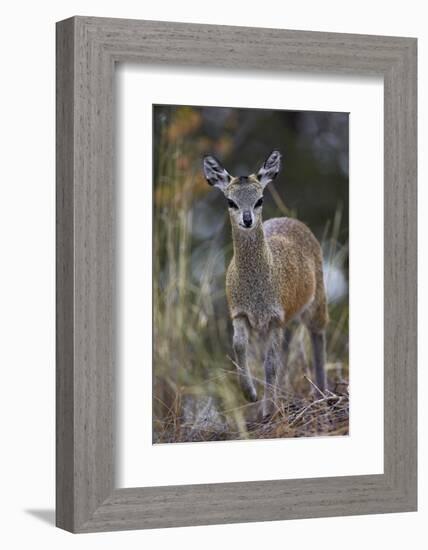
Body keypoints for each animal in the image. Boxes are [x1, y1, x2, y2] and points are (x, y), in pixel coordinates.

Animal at [203, 151, 328, 418]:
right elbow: (239, 346)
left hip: (316, 301)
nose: (247, 219)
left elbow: (270, 364)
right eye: (230, 201)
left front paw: (267, 409)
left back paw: (322, 393)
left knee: (318, 333)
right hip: (288, 320)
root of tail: (293, 220)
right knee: (288, 350)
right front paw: (250, 395)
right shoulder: (239, 312)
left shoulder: (274, 318)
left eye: (259, 199)